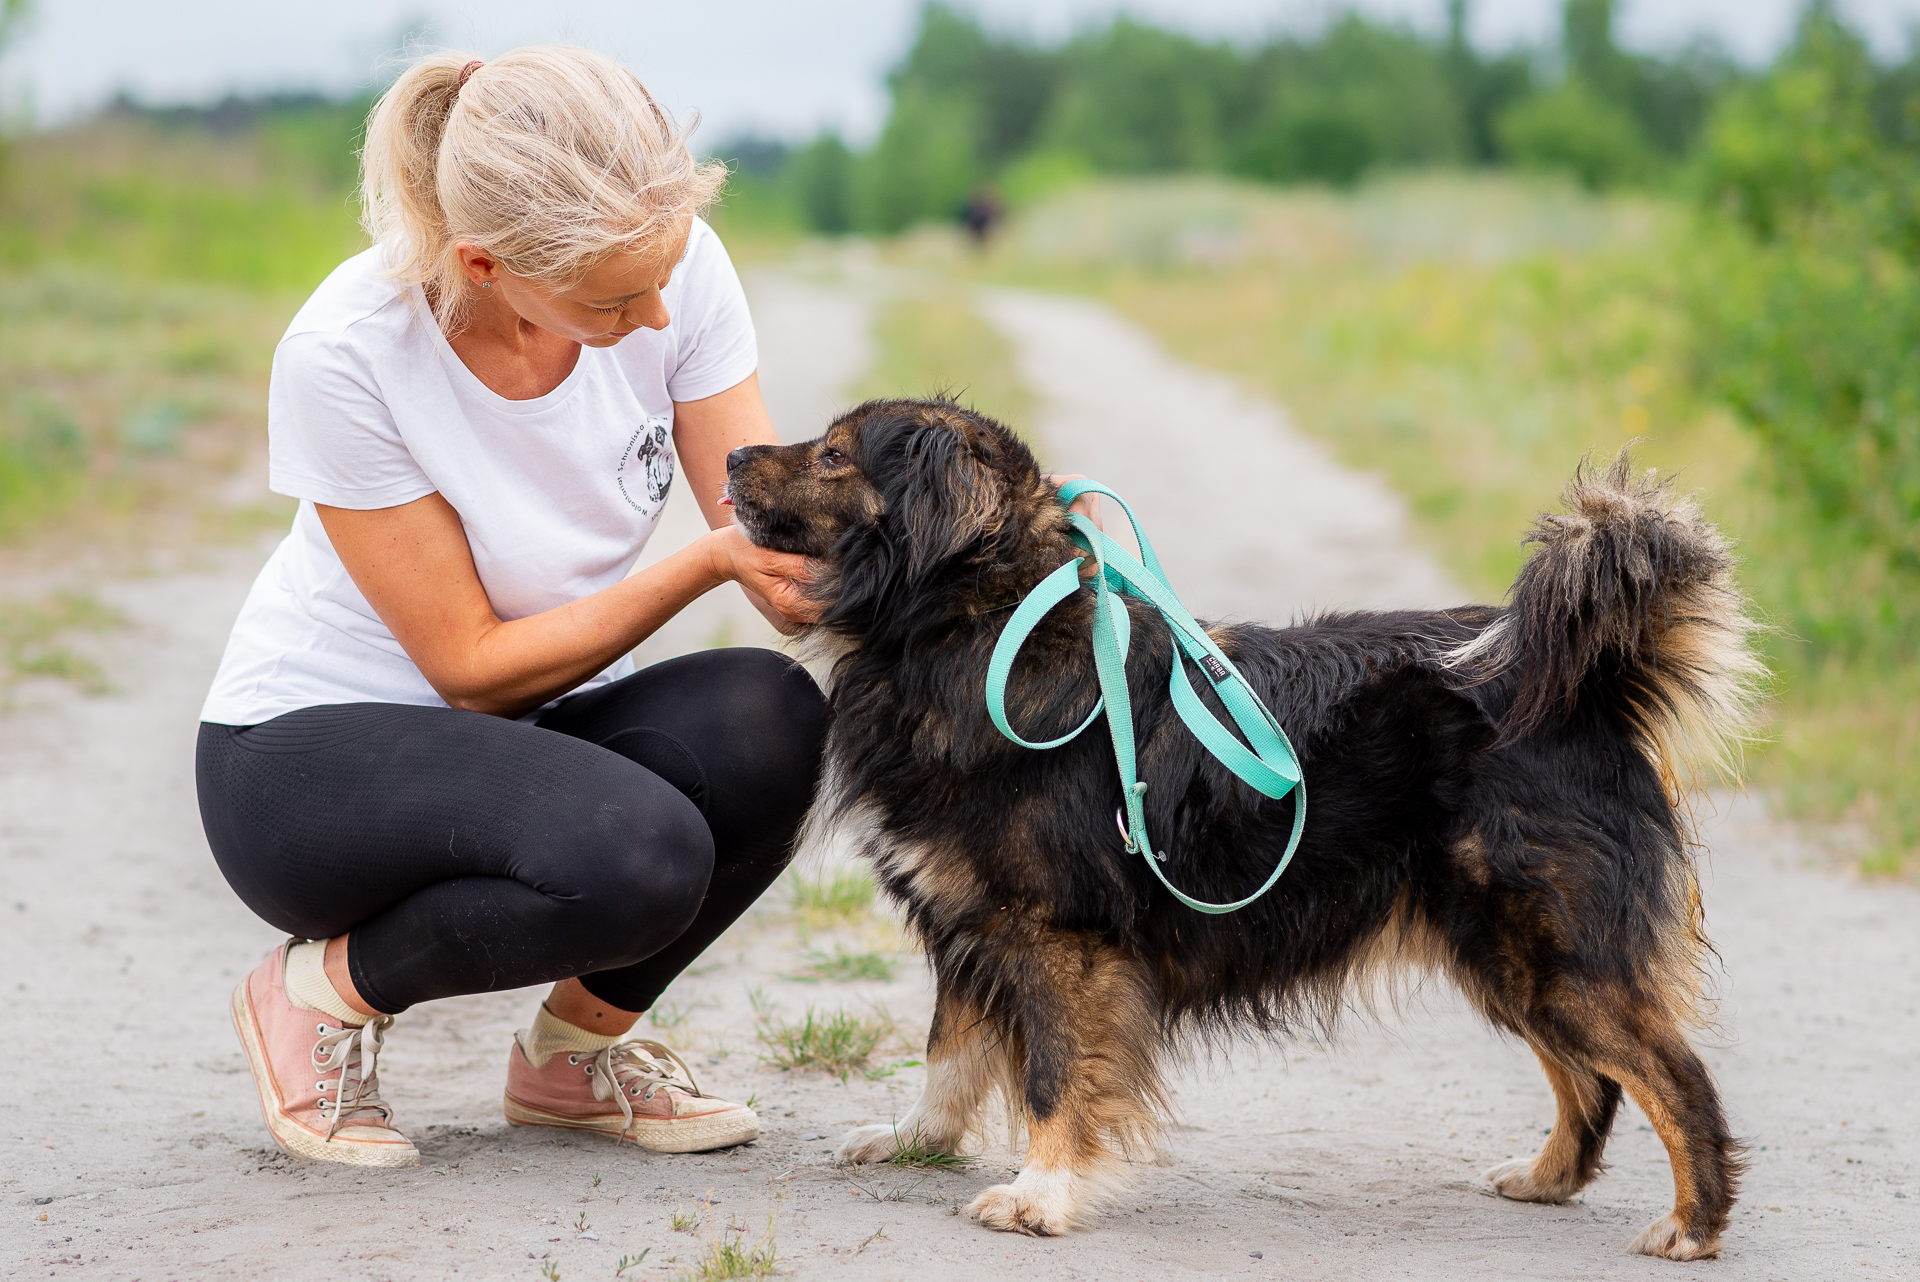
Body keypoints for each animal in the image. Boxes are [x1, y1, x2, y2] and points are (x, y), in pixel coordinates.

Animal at [725, 395, 1758, 1258]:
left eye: (832, 454)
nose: (731, 454)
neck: (980, 630)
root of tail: (1588, 686)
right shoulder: (969, 921)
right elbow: (948, 1054)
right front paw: (915, 1142)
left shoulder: (1062, 940)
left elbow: (1054, 1076)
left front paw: (1041, 1193)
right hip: (1504, 955)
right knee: (1592, 1079)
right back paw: (1548, 1179)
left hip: (1549, 950)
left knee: (1672, 1076)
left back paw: (1694, 1225)